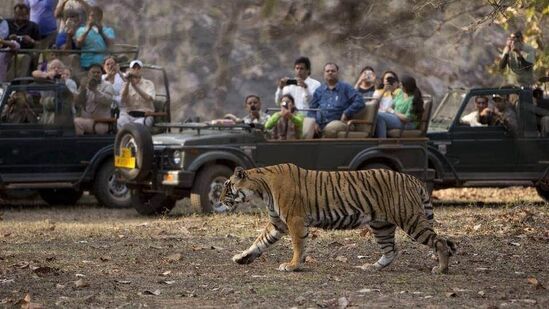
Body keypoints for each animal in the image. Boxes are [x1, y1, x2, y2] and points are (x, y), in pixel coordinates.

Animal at [217, 162, 454, 274]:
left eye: (227, 187)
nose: (219, 200)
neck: (261, 187)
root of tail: (412, 179)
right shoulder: (278, 224)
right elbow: (259, 241)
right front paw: (242, 257)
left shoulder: (294, 220)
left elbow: (298, 245)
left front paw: (293, 266)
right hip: (382, 225)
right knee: (391, 250)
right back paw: (372, 267)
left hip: (410, 219)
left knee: (440, 241)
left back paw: (441, 269)